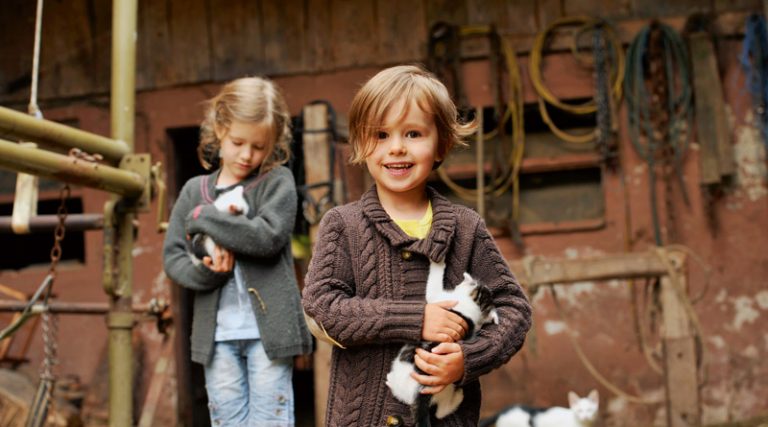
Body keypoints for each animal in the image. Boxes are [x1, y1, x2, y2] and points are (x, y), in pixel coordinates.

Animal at [388, 260, 500, 422]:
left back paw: (390, 380)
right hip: (447, 388)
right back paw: (458, 397)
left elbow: (434, 282)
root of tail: (423, 392)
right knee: (441, 411)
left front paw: (438, 262)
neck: (474, 305)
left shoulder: (437, 297)